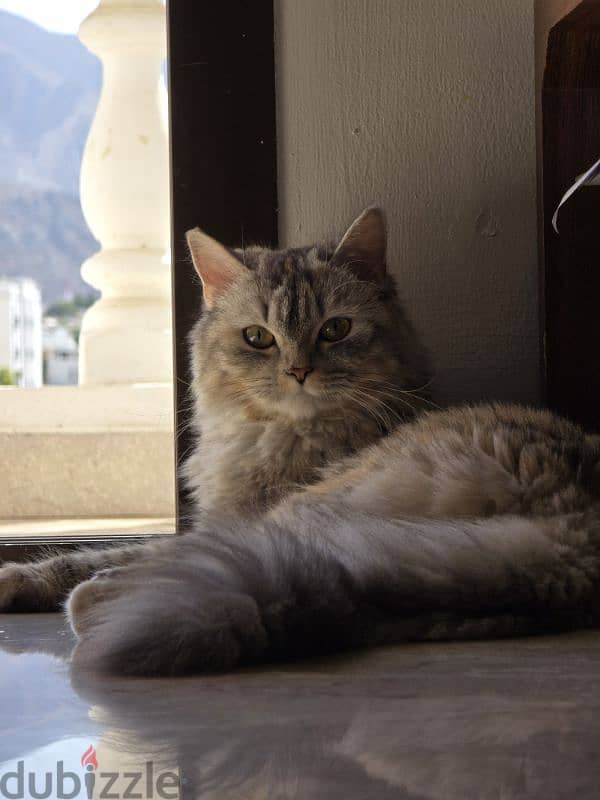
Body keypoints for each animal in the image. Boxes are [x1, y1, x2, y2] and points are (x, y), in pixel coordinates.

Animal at [1, 208, 600, 676]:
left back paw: (97, 600)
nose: (298, 371)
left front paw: (19, 578)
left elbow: (96, 553)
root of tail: (574, 536)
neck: (280, 433)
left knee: (143, 574)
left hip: (305, 510)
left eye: (335, 330)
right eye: (257, 338)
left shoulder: (231, 521)